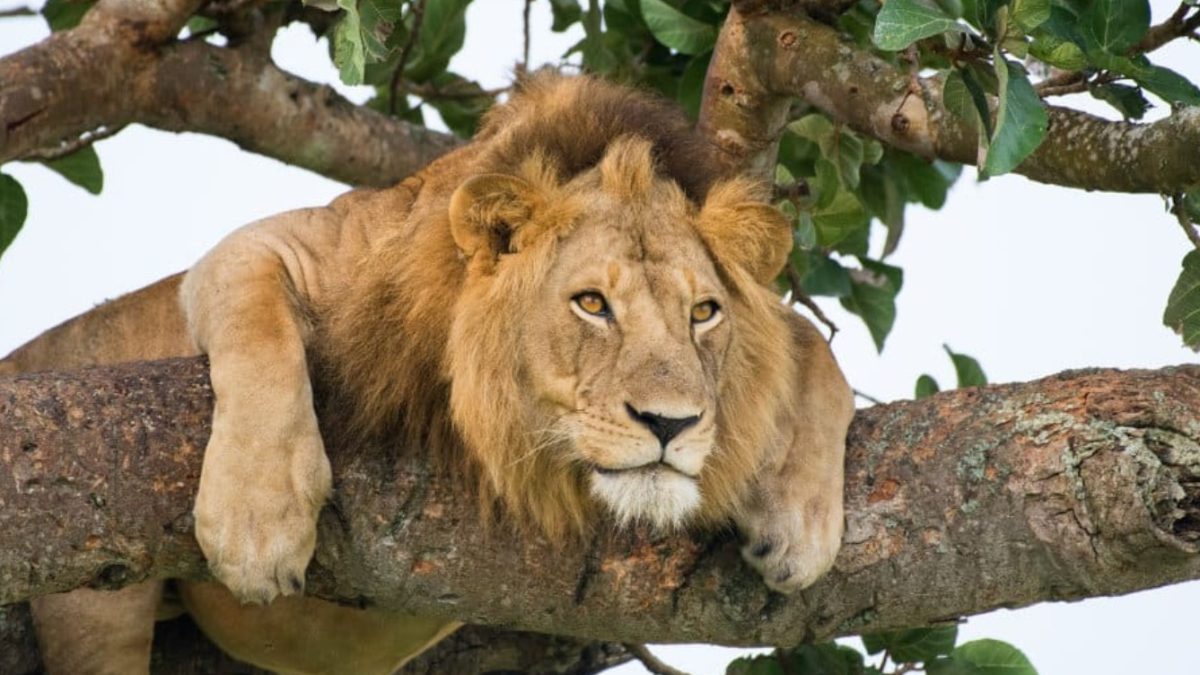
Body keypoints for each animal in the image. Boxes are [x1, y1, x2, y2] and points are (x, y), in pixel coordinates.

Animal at [2, 74, 854, 674]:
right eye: (591, 303)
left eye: (704, 313)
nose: (671, 423)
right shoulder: (273, 248)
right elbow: (257, 328)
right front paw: (257, 520)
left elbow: (813, 345)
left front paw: (800, 522)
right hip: (93, 609)